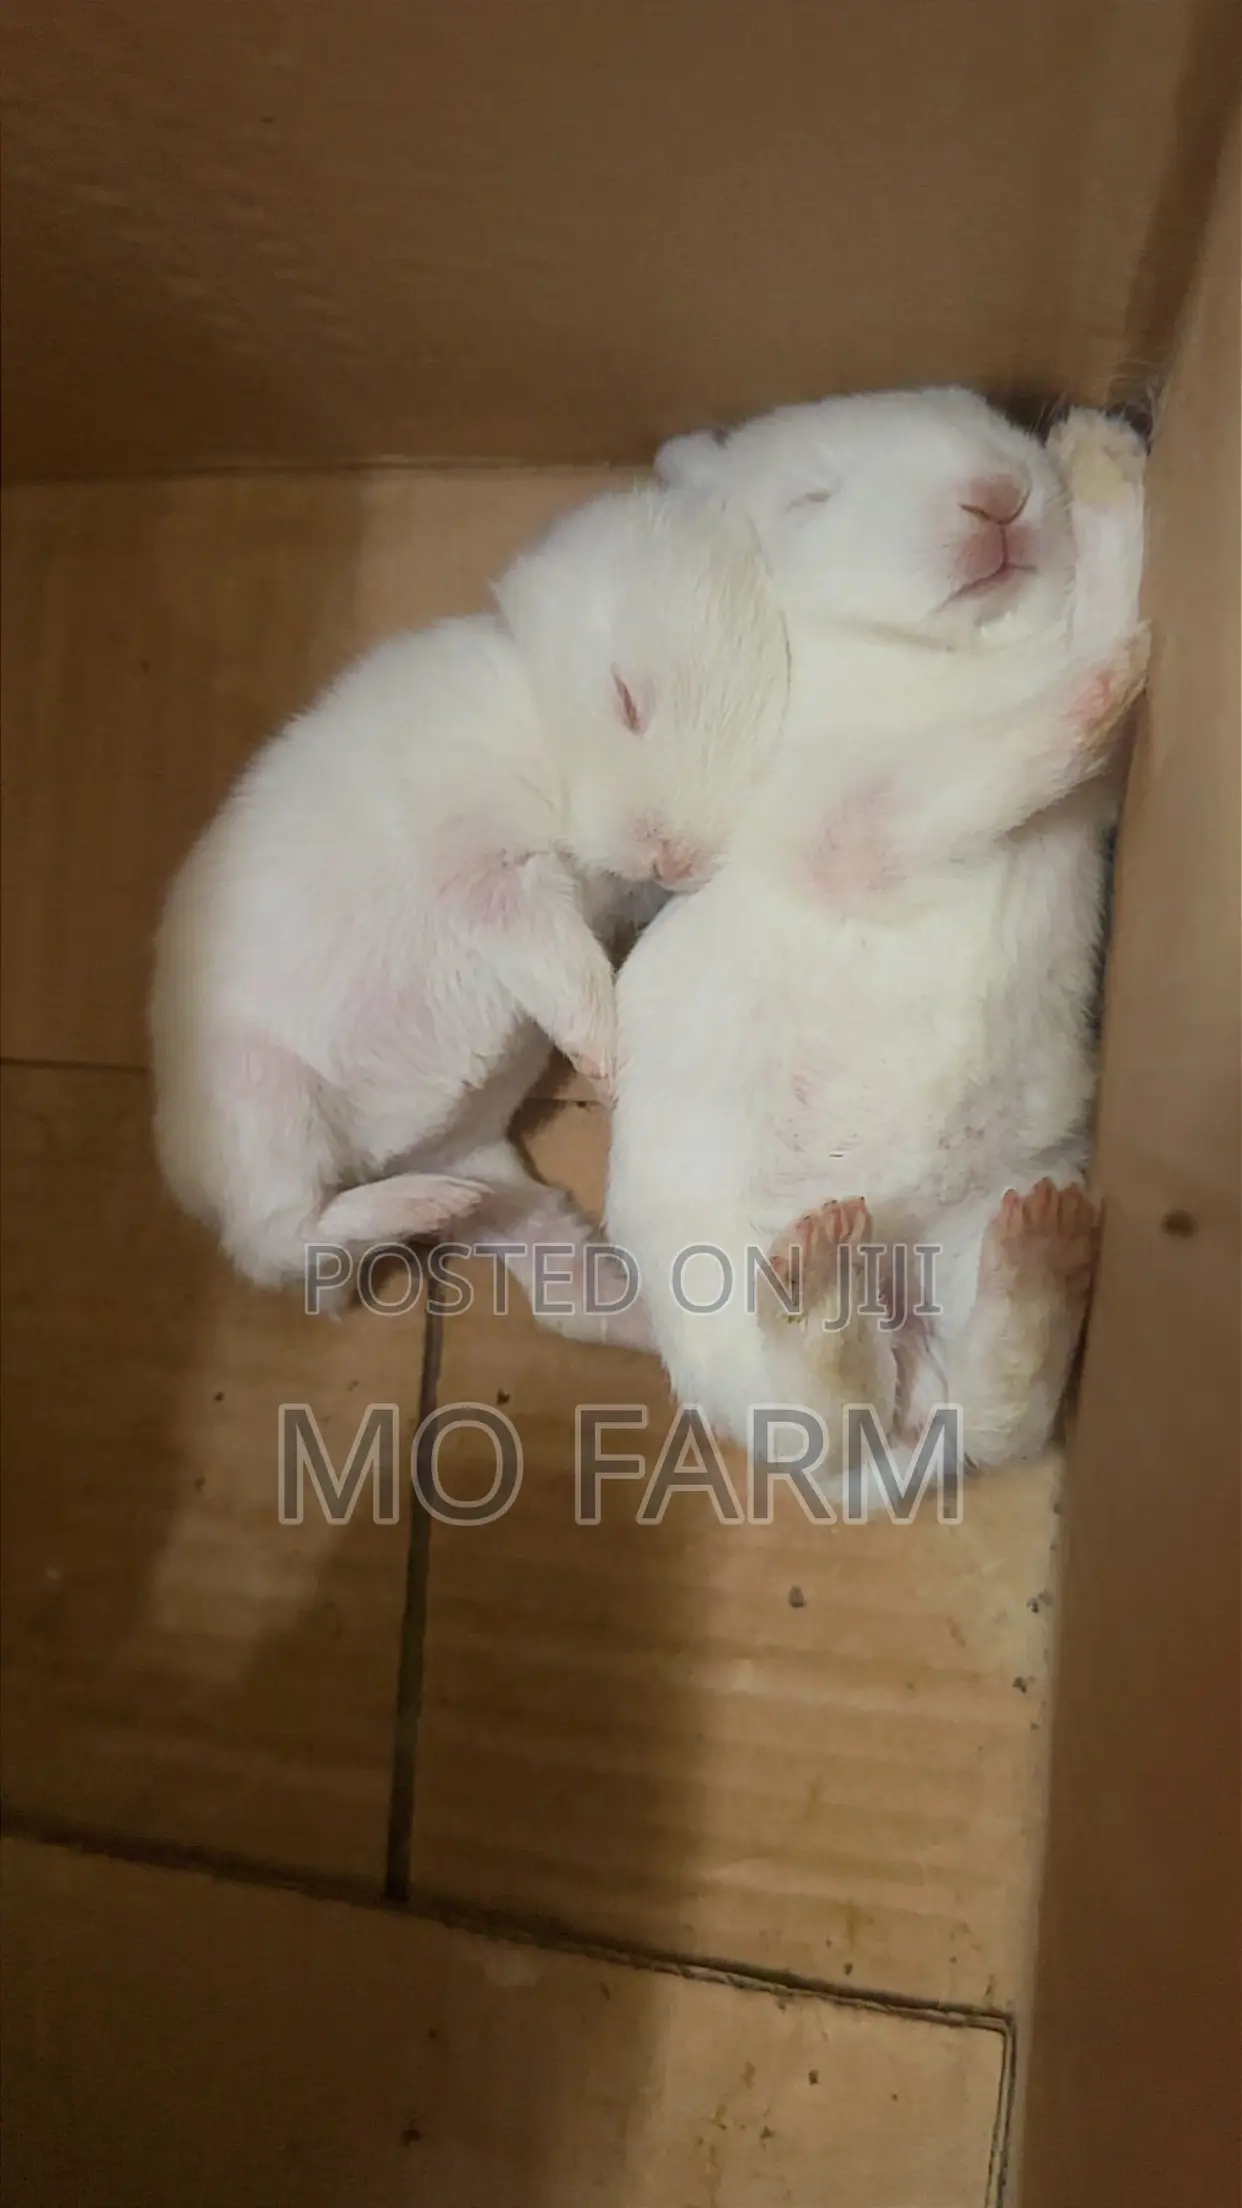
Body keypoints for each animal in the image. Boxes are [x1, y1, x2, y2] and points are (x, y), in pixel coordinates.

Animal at [150, 482, 789, 1332]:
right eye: (628, 701)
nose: (675, 858)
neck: (540, 718)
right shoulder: (483, 855)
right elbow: (553, 952)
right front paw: (608, 1058)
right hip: (261, 1097)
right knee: (280, 1240)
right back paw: (427, 1203)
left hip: (497, 1185)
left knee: (551, 1282)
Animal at [608, 396, 1148, 1498]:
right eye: (811, 499)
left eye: (988, 415)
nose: (998, 493)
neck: (943, 658)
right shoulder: (857, 814)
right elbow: (1020, 731)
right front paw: (1108, 660)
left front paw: (1098, 457)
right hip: (722, 1280)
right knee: (829, 1414)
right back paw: (821, 1282)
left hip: (988, 1213)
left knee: (994, 1416)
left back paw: (1037, 1253)